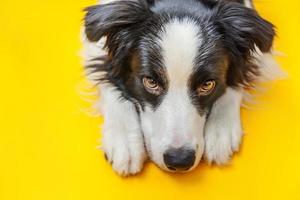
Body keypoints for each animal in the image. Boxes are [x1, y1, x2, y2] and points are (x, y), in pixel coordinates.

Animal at [81, 0, 276, 175]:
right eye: (150, 82)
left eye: (207, 85)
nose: (179, 161)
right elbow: (106, 78)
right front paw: (125, 141)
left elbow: (237, 80)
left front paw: (220, 130)